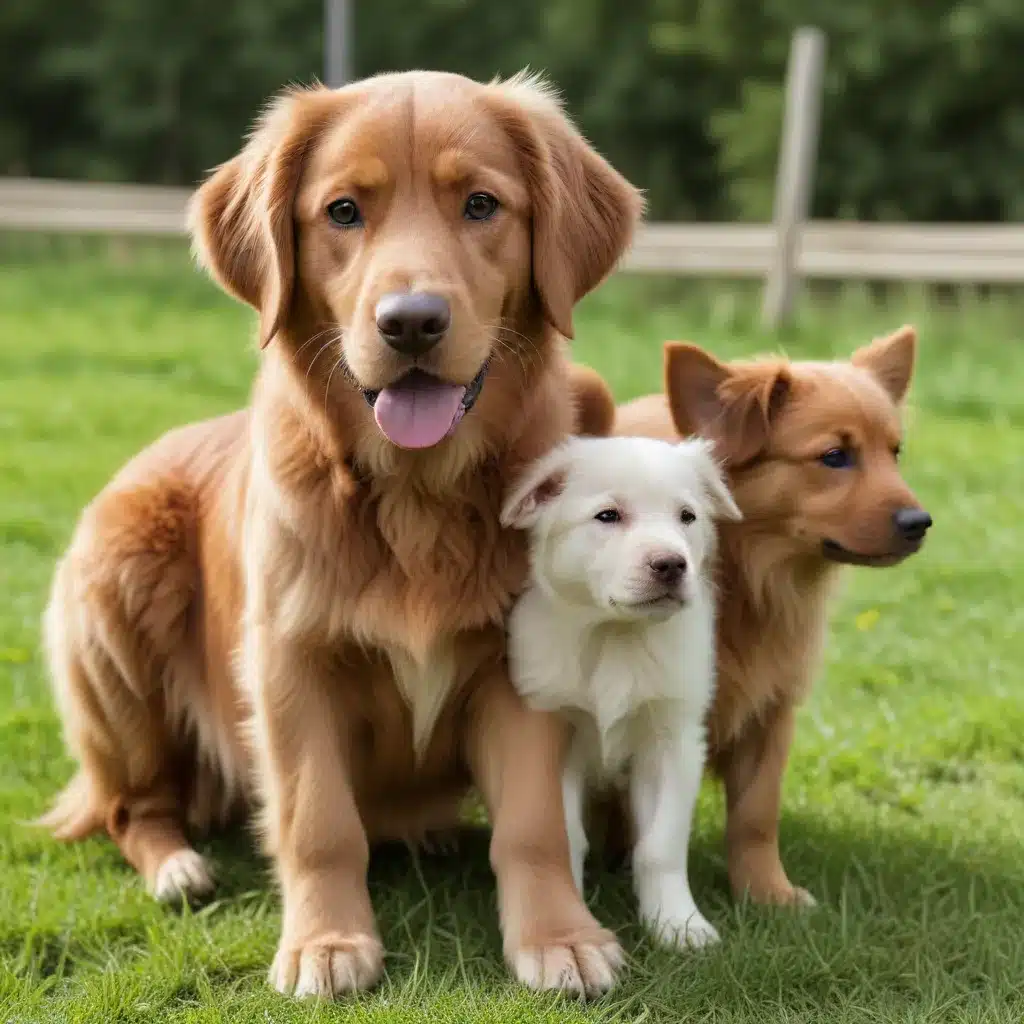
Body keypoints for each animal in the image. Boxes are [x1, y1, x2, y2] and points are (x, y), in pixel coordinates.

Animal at [44, 72, 643, 999]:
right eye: (343, 211)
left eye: (480, 204)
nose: (411, 322)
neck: (416, 497)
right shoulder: (292, 663)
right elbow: (318, 820)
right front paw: (326, 944)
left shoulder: (522, 663)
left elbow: (535, 822)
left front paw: (559, 936)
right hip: (119, 606)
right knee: (129, 805)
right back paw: (177, 865)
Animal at [501, 434, 737, 950]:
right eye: (608, 516)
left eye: (687, 516)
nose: (671, 564)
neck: (616, 637)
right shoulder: (557, 737)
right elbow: (567, 837)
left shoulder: (673, 741)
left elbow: (660, 845)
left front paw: (678, 925)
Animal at [573, 327, 933, 905]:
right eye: (835, 456)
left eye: (894, 452)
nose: (920, 522)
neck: (747, 580)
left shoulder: (770, 710)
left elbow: (756, 814)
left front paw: (767, 894)